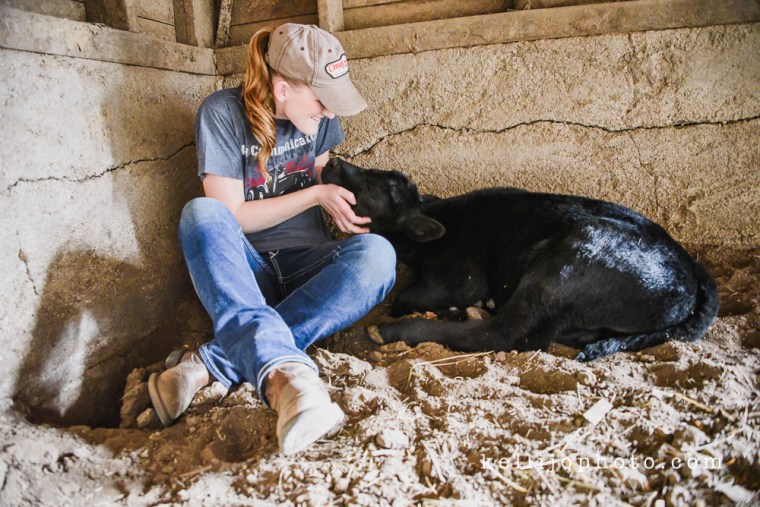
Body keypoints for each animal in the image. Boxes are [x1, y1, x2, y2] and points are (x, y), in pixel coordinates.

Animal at [320, 158, 719, 361]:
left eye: (376, 187)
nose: (333, 161)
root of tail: (690, 275)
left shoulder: (459, 279)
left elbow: (405, 297)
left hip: (568, 260)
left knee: (505, 332)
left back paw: (396, 330)